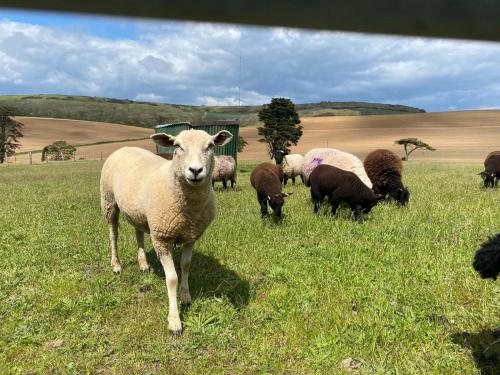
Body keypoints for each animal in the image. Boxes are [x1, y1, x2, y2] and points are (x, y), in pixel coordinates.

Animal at [102, 129, 235, 334]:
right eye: (177, 146)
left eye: (210, 146)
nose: (195, 171)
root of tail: (125, 147)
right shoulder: (162, 238)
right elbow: (171, 278)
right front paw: (174, 320)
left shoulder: (190, 236)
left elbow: (186, 266)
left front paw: (186, 297)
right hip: (109, 201)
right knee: (113, 235)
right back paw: (116, 265)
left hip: (138, 213)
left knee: (138, 234)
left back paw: (143, 264)